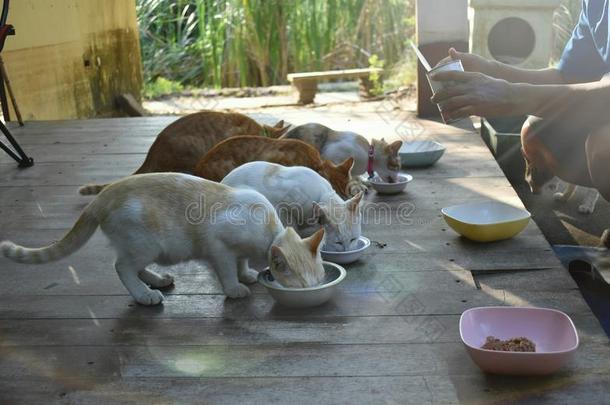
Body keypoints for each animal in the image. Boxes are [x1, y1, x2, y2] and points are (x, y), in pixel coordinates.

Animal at [0, 172, 326, 304]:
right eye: (301, 288)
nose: (312, 293)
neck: (268, 228)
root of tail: (103, 195)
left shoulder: (239, 249)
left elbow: (242, 260)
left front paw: (245, 274)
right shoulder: (219, 246)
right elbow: (226, 268)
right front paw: (235, 287)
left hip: (145, 248)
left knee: (131, 265)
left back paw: (156, 280)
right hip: (145, 244)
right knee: (121, 267)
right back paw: (144, 295)